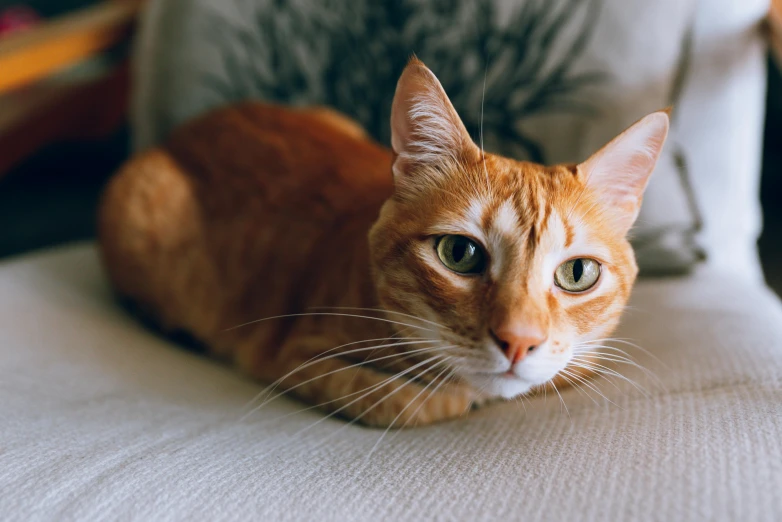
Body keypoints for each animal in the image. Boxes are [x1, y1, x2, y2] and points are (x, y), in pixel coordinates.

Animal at [101, 59, 672, 426]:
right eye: (460, 254)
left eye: (577, 273)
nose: (519, 341)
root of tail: (183, 129)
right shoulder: (299, 357)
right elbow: (424, 402)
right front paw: (461, 396)